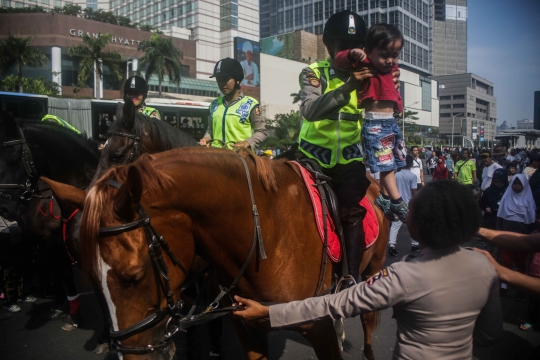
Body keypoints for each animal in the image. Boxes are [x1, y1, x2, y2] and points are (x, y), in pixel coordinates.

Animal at [43, 147, 388, 360]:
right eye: (90, 277)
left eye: (135, 275)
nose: (137, 357)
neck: (270, 234)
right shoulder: (249, 327)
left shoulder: (317, 327)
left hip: (375, 269)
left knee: (369, 319)